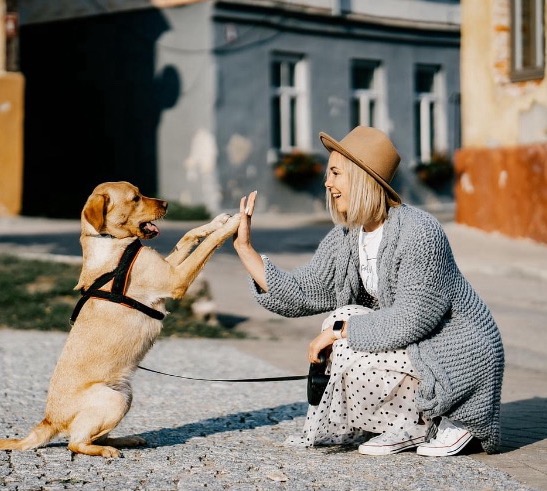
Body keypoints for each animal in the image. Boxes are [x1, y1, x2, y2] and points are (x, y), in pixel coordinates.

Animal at [0, 183, 241, 460]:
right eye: (135, 198)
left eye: (141, 192)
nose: (167, 204)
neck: (111, 242)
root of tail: (49, 420)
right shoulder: (175, 278)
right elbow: (207, 246)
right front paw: (234, 223)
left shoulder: (169, 267)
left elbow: (188, 237)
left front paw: (216, 221)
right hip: (113, 399)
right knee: (75, 443)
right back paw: (106, 450)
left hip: (125, 395)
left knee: (93, 436)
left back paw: (126, 440)